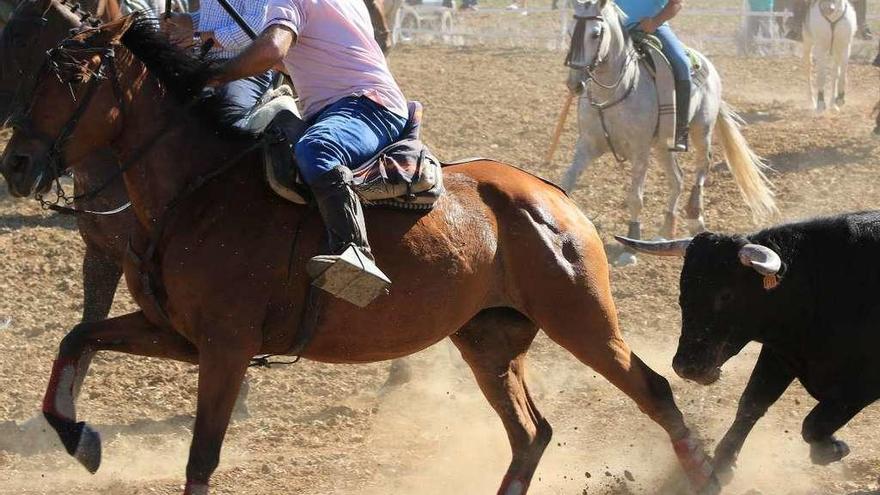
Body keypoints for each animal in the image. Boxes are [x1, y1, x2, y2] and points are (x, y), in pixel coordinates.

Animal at [3, 16, 720, 495]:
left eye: (70, 76)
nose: (16, 163)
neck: (197, 185)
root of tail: (555, 198)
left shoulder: (226, 346)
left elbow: (201, 457)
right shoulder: (177, 334)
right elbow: (78, 336)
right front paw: (79, 438)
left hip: (583, 320)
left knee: (652, 390)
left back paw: (708, 475)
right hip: (488, 338)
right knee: (531, 433)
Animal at [564, 0, 776, 268]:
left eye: (595, 33)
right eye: (570, 32)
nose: (575, 83)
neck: (616, 90)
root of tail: (707, 63)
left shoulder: (640, 150)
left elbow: (635, 197)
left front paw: (630, 248)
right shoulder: (587, 145)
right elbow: (566, 182)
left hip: (701, 130)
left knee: (702, 166)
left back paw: (695, 217)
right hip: (663, 146)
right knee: (677, 178)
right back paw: (665, 230)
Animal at [620, 210, 880, 484]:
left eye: (726, 295)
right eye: (682, 292)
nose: (687, 367)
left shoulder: (862, 383)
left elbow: (814, 422)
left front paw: (832, 448)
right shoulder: (780, 355)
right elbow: (752, 402)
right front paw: (723, 463)